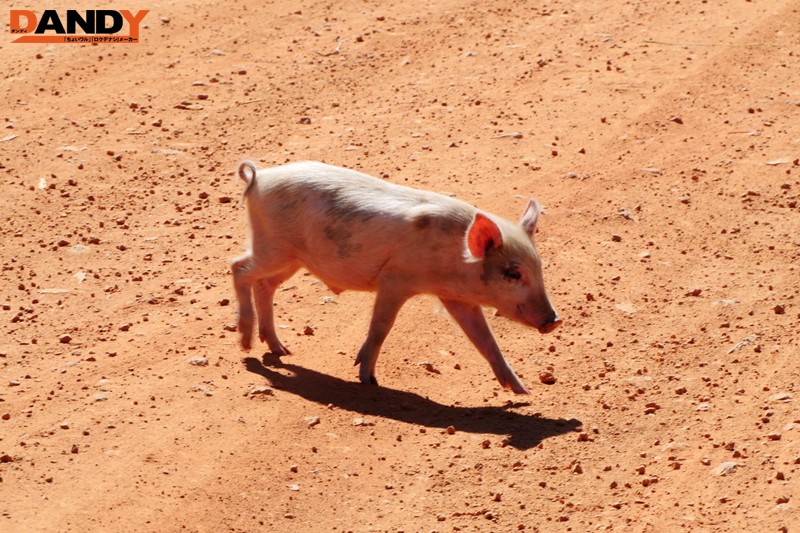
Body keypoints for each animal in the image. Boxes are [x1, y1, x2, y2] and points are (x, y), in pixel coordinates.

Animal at [231, 160, 564, 392]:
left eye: (539, 267)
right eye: (513, 273)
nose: (554, 320)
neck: (453, 262)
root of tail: (259, 177)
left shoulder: (457, 299)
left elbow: (486, 341)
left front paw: (523, 392)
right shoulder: (394, 280)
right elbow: (381, 327)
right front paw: (368, 379)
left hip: (292, 258)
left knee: (265, 284)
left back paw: (281, 349)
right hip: (272, 247)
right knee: (238, 267)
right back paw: (246, 344)